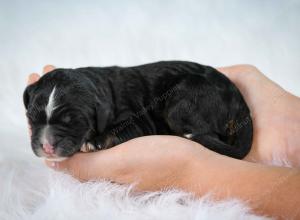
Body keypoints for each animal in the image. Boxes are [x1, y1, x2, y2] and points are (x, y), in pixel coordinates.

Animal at [24, 61, 253, 161]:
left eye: (73, 121)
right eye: (31, 118)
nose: (47, 147)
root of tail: (240, 101)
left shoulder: (137, 120)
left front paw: (95, 141)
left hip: (183, 101)